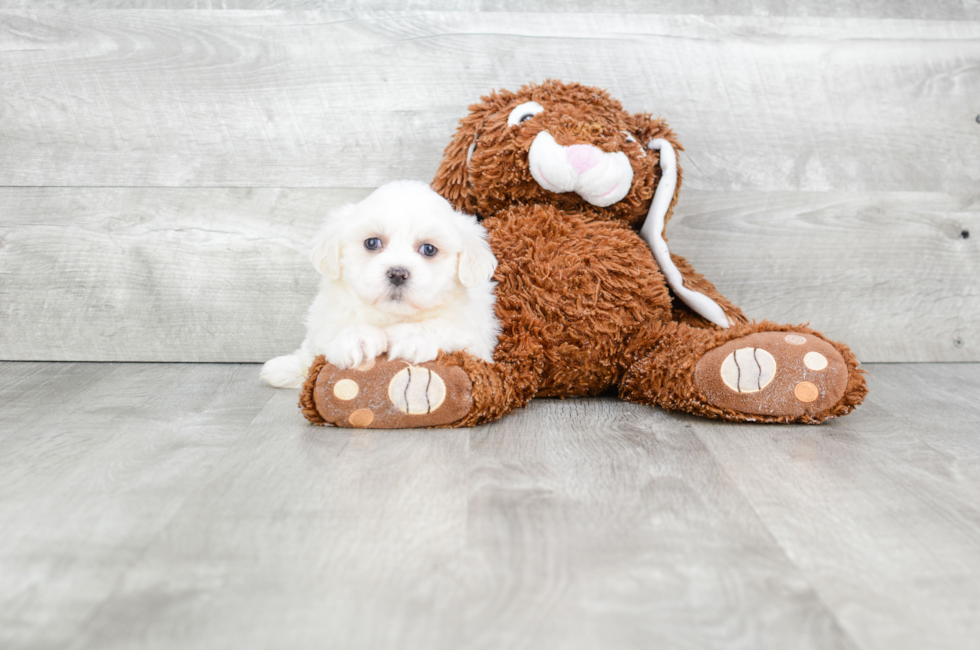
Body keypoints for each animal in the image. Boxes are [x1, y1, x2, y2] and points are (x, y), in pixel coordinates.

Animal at [260, 180, 498, 388]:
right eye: (372, 243)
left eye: (429, 249)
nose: (398, 273)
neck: (390, 316)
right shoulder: (326, 317)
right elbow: (325, 336)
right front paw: (357, 338)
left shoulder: (475, 335)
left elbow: (444, 325)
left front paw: (409, 336)